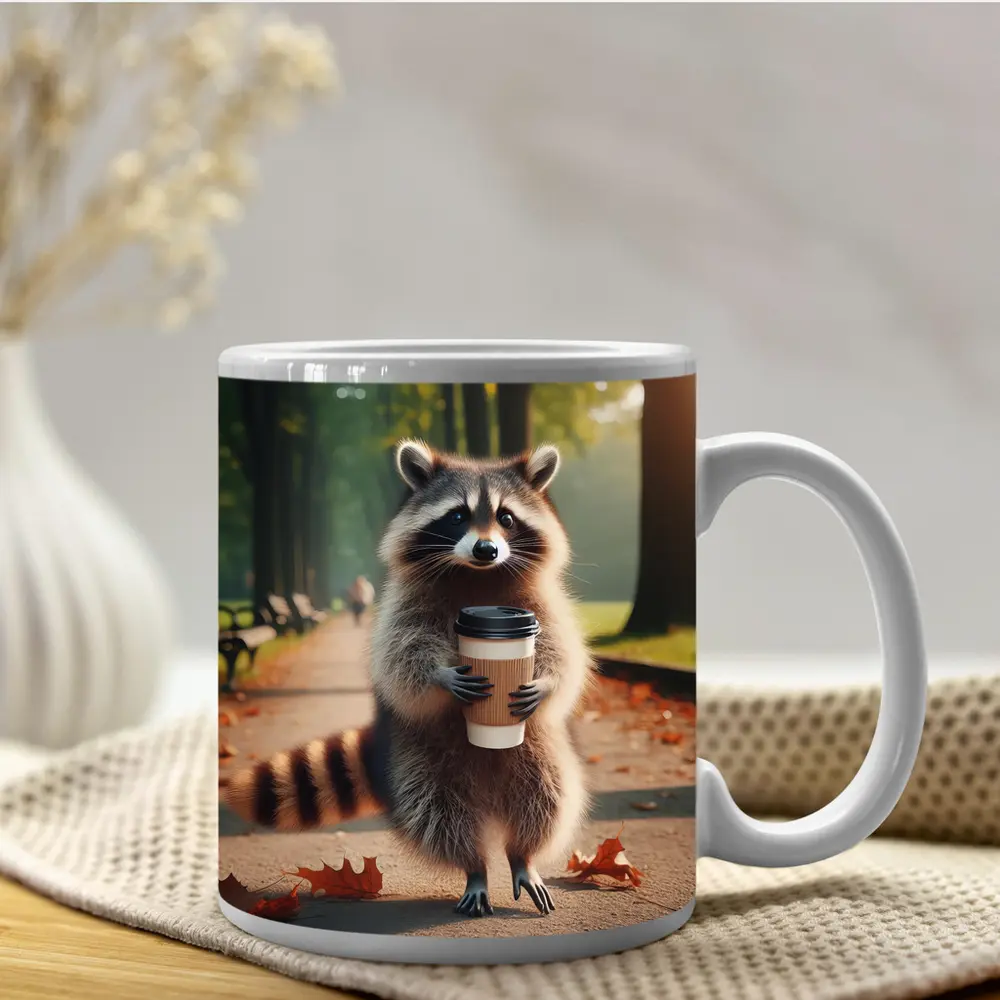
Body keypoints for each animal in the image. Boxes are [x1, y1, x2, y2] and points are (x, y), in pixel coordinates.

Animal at [224, 439, 592, 917]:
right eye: (457, 516)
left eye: (507, 518)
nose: (487, 550)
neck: (477, 577)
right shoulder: (404, 605)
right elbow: (402, 655)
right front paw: (440, 676)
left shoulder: (541, 604)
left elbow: (561, 652)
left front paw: (545, 683)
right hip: (421, 757)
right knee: (439, 813)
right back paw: (474, 865)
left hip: (536, 748)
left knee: (546, 797)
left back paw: (521, 856)